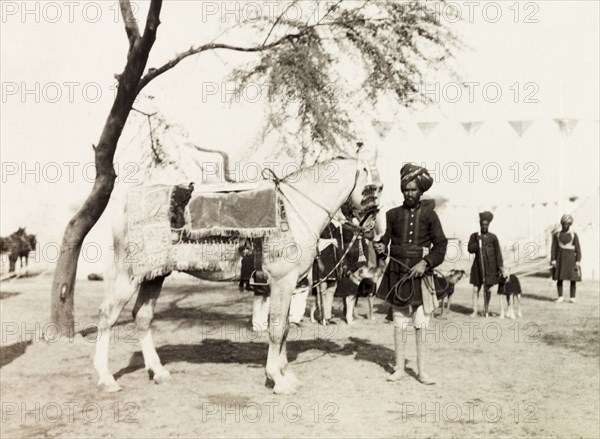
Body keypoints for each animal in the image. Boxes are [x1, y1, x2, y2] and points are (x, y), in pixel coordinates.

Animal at [95, 157, 382, 396]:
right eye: (373, 189)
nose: (374, 230)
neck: (292, 211)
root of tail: (125, 205)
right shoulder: (282, 282)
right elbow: (276, 329)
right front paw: (277, 379)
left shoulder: (288, 285)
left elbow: (285, 328)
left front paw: (284, 374)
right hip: (128, 276)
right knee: (107, 317)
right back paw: (106, 379)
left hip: (153, 276)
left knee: (142, 317)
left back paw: (158, 372)